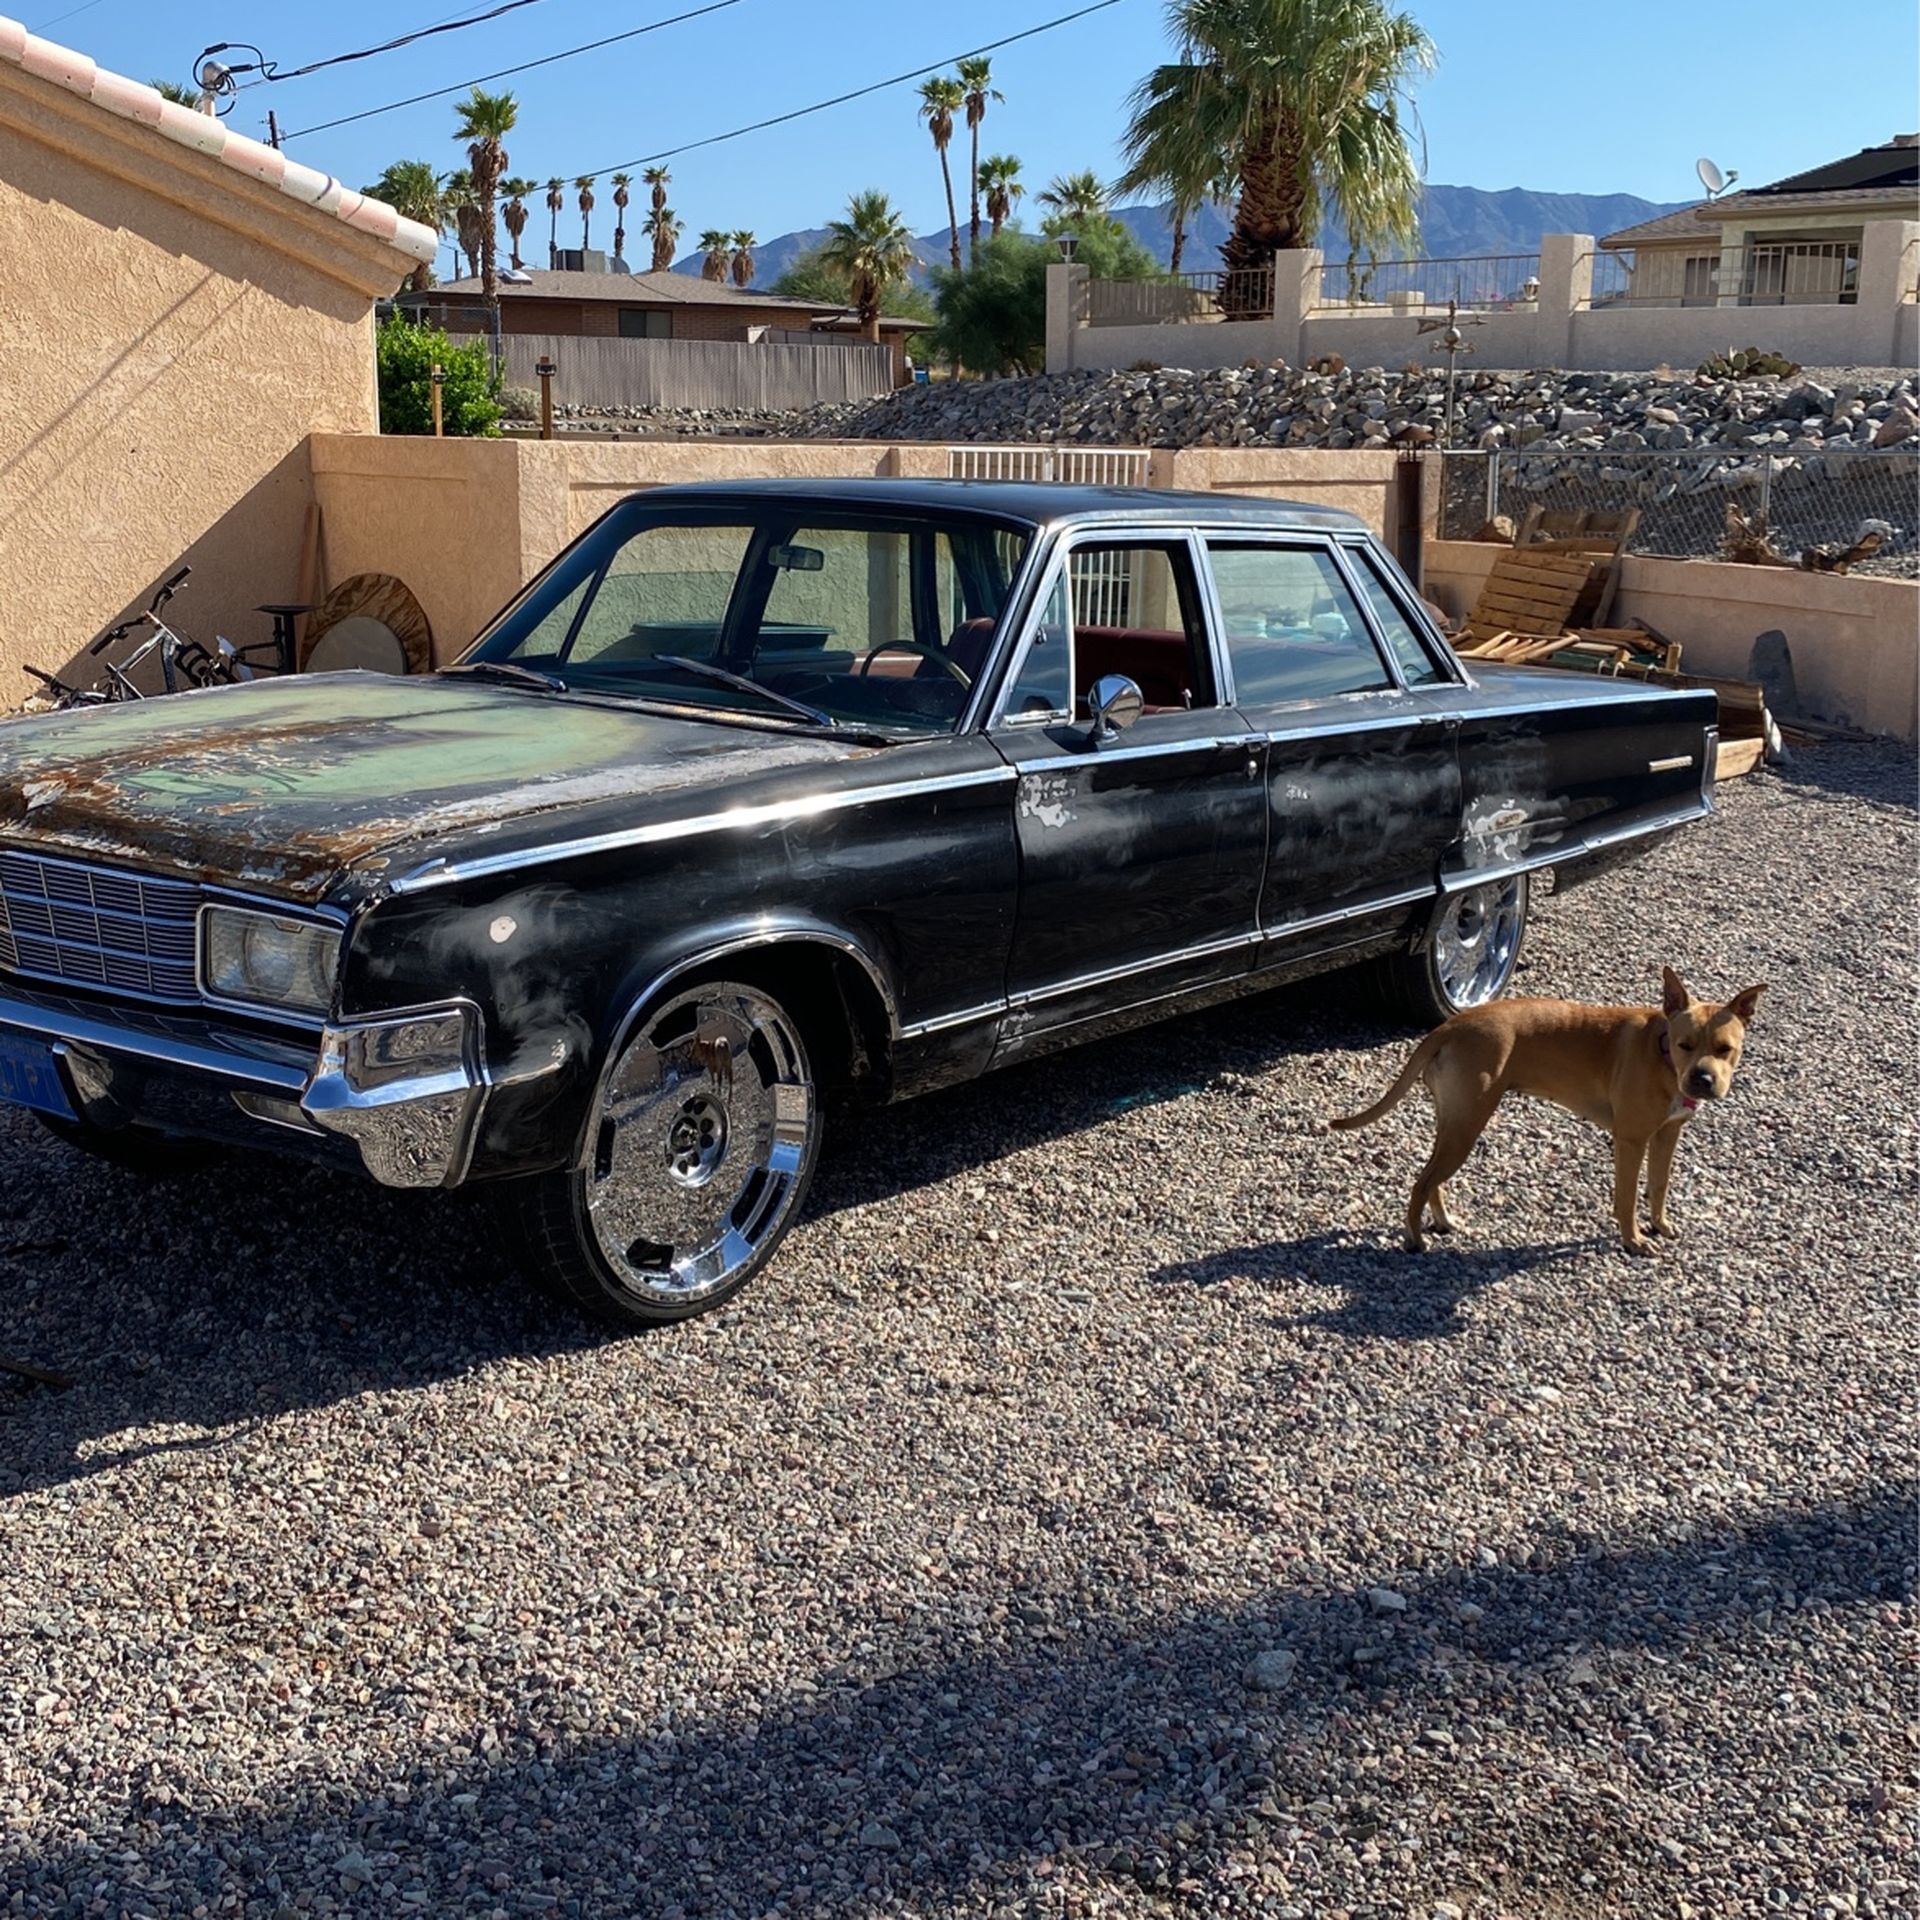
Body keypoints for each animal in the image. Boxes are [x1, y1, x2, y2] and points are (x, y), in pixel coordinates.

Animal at [1336, 975, 1766, 1259]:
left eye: (1725, 1049)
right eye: (1684, 1045)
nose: (1702, 1079)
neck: (1660, 1054)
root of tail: (1449, 1026)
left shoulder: (1667, 1135)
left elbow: (1658, 1187)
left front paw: (1659, 1225)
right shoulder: (1631, 1140)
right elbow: (1626, 1197)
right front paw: (1633, 1239)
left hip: (1456, 1123)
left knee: (1431, 1179)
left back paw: (1442, 1222)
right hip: (1466, 1126)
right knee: (1422, 1182)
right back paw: (1414, 1238)